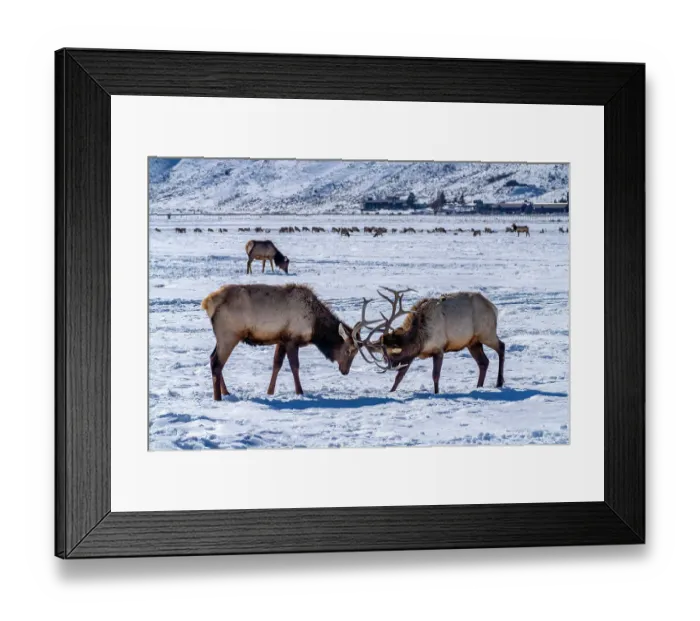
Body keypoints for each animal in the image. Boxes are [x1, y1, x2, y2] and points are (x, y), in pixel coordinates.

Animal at [201, 284, 365, 400]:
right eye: (349, 350)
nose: (345, 371)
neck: (315, 328)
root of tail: (207, 302)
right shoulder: (292, 339)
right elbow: (294, 366)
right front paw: (300, 392)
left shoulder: (281, 340)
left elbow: (277, 364)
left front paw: (270, 391)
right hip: (229, 335)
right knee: (216, 362)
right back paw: (218, 398)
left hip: (223, 337)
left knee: (212, 358)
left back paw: (226, 392)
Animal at [351, 288, 505, 394]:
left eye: (390, 353)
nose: (391, 365)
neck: (420, 337)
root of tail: (493, 307)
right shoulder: (411, 355)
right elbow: (399, 377)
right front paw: (390, 392)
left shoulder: (438, 349)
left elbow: (435, 376)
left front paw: (436, 393)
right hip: (472, 342)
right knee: (483, 362)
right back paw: (479, 386)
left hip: (487, 333)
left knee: (501, 346)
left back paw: (499, 382)